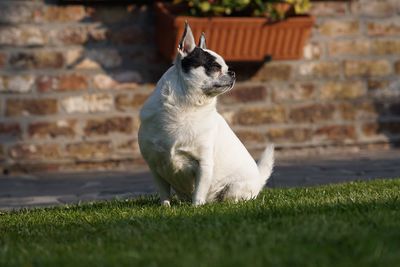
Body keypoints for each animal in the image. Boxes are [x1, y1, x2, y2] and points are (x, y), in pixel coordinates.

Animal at [138, 23, 276, 207]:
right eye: (215, 67)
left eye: (226, 67)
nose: (232, 72)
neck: (186, 107)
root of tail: (259, 180)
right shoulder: (155, 167)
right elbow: (164, 194)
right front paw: (165, 208)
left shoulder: (203, 164)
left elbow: (199, 192)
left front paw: (196, 208)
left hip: (234, 190)